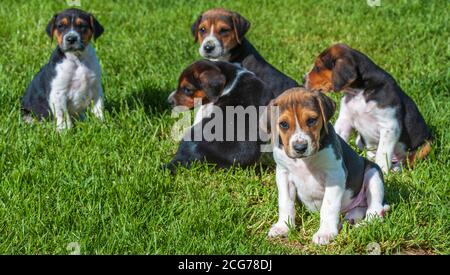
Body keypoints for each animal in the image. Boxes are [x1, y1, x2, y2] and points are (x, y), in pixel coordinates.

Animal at [262, 88, 388, 246]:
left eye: (311, 120)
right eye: (283, 124)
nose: (300, 147)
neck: (304, 161)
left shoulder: (335, 174)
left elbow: (328, 206)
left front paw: (325, 233)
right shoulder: (283, 174)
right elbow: (285, 202)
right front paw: (283, 227)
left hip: (373, 174)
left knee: (375, 212)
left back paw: (361, 226)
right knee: (359, 210)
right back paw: (348, 220)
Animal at [304, 43, 430, 172]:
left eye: (318, 67)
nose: (303, 79)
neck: (359, 92)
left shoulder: (390, 126)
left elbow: (382, 153)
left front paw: (382, 171)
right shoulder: (345, 120)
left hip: (426, 145)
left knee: (408, 160)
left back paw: (396, 169)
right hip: (360, 141)